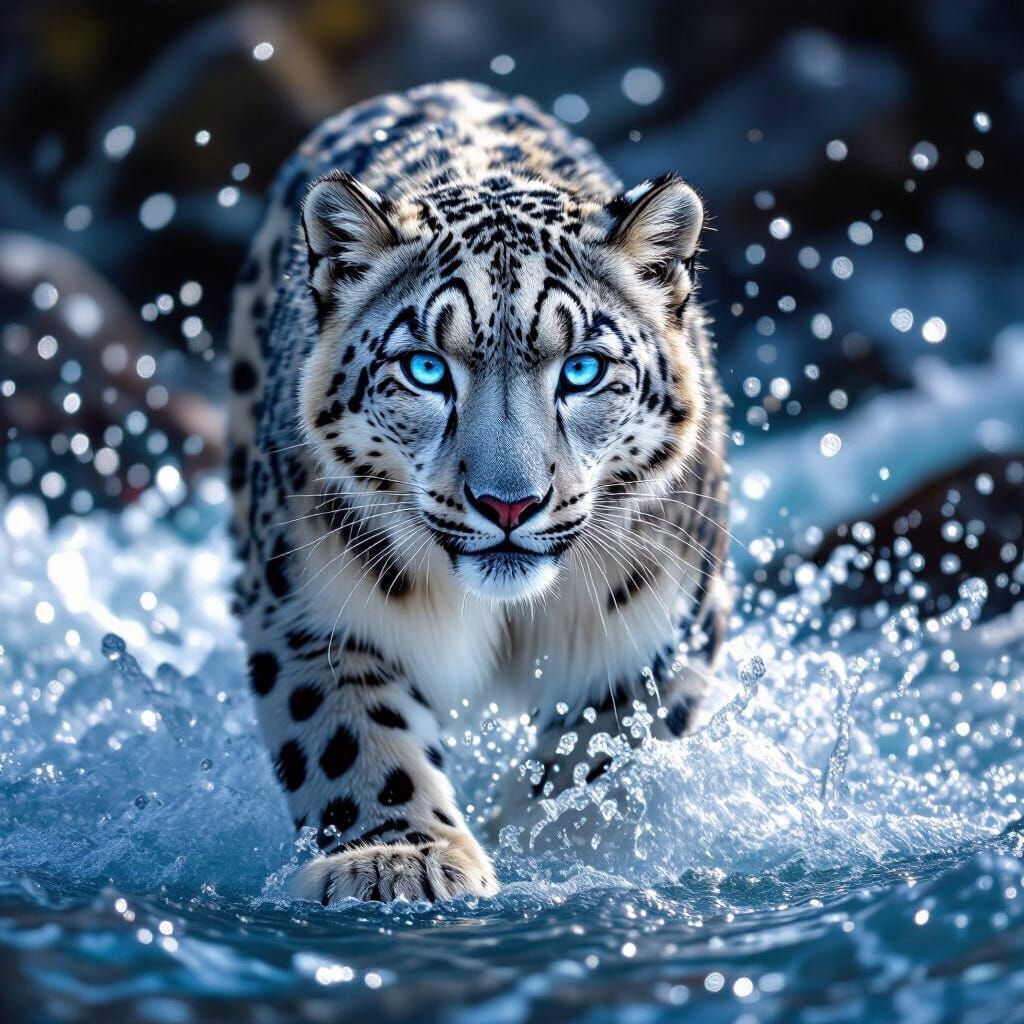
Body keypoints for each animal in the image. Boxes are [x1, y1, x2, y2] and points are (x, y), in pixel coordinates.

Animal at [227, 80, 730, 906]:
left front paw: (553, 847)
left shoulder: (664, 624)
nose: (508, 505)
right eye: (426, 368)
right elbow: (350, 733)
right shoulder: (311, 610)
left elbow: (606, 755)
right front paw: (399, 858)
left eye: (583, 368)